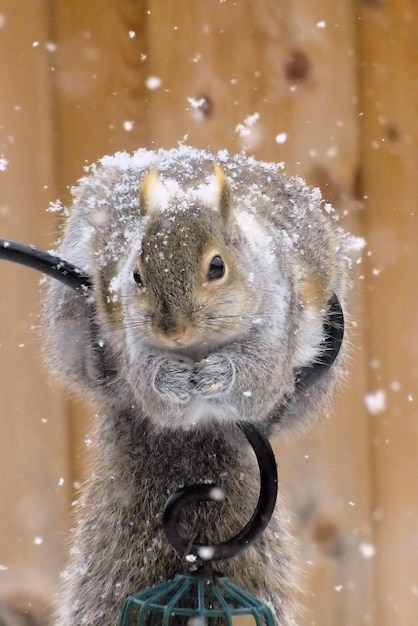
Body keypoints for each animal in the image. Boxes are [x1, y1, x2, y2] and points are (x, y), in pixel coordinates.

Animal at [43, 147, 350, 624]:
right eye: (136, 274)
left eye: (217, 267)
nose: (173, 330)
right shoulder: (134, 342)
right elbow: (151, 386)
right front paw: (169, 380)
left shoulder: (277, 326)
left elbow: (256, 376)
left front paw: (217, 375)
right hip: (71, 320)